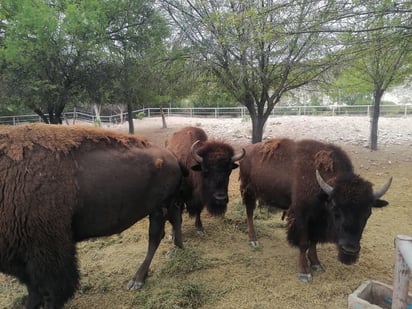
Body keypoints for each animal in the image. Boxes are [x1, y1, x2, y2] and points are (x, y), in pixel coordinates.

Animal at [0, 123, 185, 308]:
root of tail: (172, 156)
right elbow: (33, 288)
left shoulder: (45, 251)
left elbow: (50, 289)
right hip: (164, 206)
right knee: (173, 221)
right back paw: (178, 248)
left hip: (160, 207)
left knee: (155, 237)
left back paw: (137, 279)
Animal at [238, 137, 392, 282]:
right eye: (335, 209)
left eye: (368, 213)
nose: (349, 252)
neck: (322, 193)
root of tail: (248, 149)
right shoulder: (302, 216)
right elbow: (304, 243)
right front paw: (305, 273)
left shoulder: (316, 221)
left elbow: (314, 242)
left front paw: (317, 264)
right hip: (249, 192)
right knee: (249, 213)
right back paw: (253, 241)